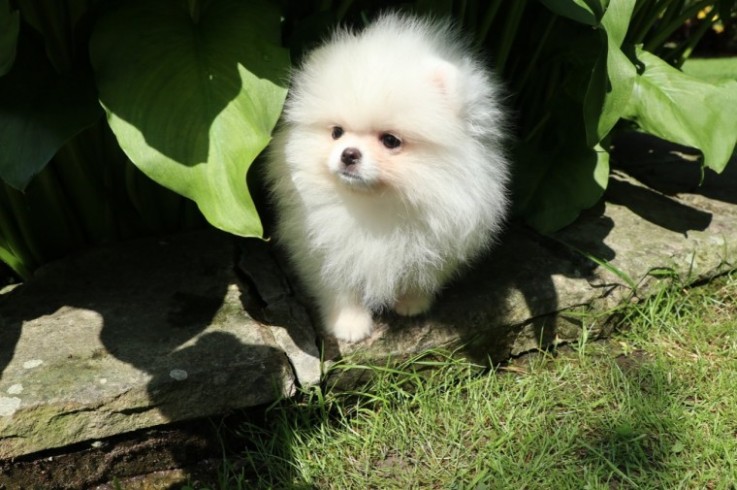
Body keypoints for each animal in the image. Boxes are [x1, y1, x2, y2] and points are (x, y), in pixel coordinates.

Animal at [266, 11, 512, 340]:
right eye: (336, 133)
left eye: (391, 140)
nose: (349, 154)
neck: (378, 202)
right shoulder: (323, 245)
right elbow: (340, 288)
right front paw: (350, 324)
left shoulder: (443, 238)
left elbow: (422, 275)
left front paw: (412, 303)